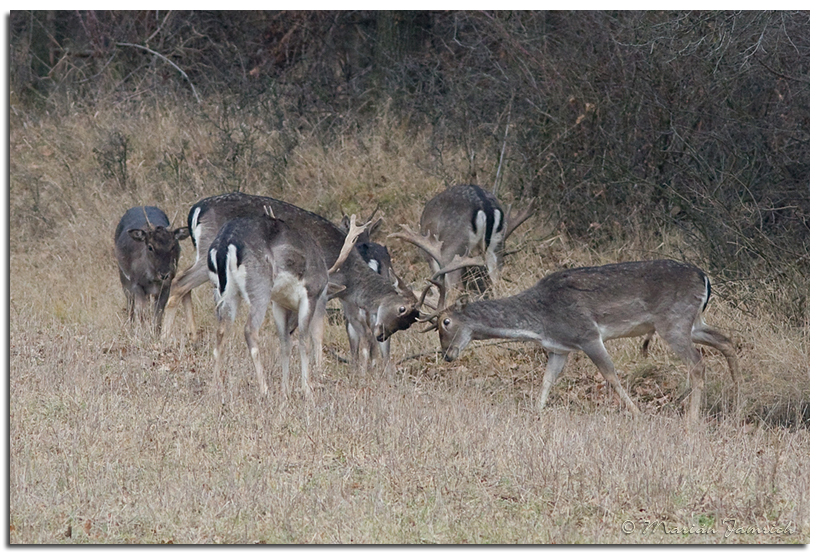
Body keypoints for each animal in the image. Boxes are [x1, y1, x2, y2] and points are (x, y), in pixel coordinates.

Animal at [159, 192, 420, 356]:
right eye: (402, 311)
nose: (382, 335)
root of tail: (195, 210)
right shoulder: (324, 289)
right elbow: (319, 330)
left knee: (185, 284)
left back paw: (191, 337)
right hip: (207, 257)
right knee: (180, 281)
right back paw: (163, 337)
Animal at [208, 205, 366, 398]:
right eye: (326, 298)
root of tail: (226, 243)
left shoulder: (279, 303)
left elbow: (285, 344)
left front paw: (286, 389)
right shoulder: (310, 295)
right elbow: (307, 340)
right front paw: (308, 387)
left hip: (225, 291)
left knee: (221, 331)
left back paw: (214, 386)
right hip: (259, 287)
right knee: (250, 330)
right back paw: (264, 389)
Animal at [400, 184, 536, 298]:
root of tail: (485, 205)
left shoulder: (430, 256)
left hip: (453, 248)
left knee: (455, 287)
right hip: (496, 244)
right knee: (497, 282)